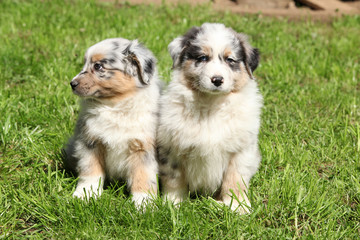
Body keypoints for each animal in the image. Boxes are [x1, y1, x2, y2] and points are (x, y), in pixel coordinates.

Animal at [65, 38, 160, 207]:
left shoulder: (143, 147)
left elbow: (143, 176)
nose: (72, 83)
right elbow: (90, 171)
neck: (115, 106)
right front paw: (84, 195)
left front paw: (144, 203)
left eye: (98, 66)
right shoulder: (90, 141)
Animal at [157, 23, 262, 214]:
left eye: (230, 60)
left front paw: (237, 207)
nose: (217, 79)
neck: (211, 104)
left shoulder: (241, 151)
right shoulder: (172, 147)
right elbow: (174, 178)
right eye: (203, 58)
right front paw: (173, 204)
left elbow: (235, 180)